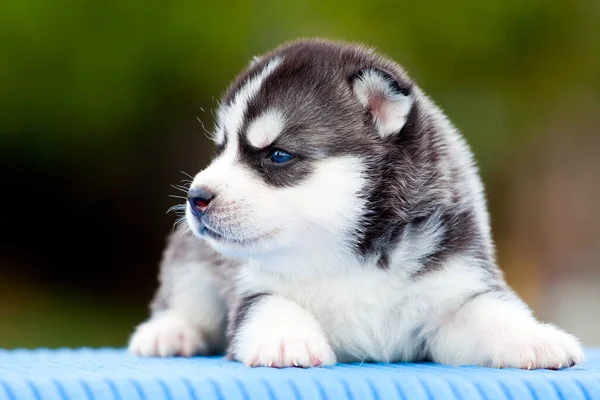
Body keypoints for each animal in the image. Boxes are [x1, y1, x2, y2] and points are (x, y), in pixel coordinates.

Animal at [129, 38, 584, 368]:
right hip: (192, 257)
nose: (196, 197)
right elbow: (270, 304)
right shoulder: (250, 287)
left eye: (277, 155)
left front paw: (535, 338)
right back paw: (169, 332)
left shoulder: (455, 287)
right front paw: (287, 339)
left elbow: (490, 313)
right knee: (184, 296)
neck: (349, 258)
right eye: (221, 149)